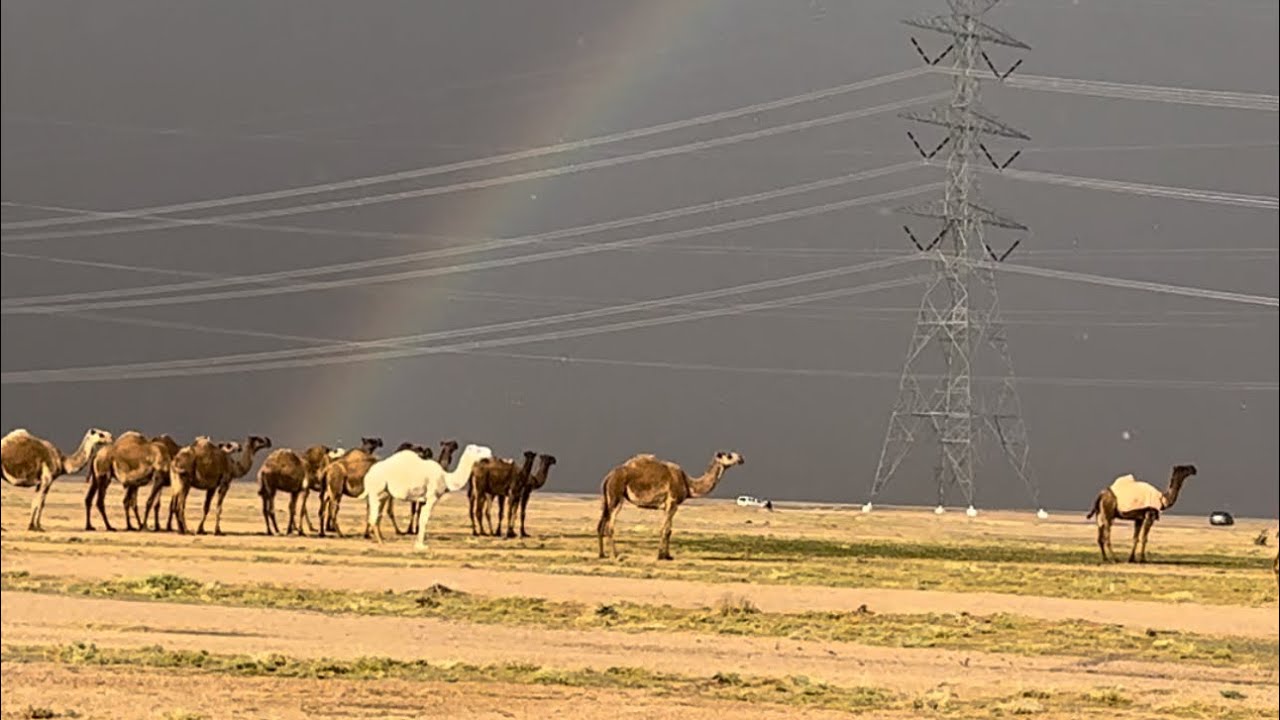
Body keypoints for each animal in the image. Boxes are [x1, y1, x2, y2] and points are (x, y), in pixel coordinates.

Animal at [361, 443, 492, 550]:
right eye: (478, 450)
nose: (489, 452)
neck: (446, 477)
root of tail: (368, 474)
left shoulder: (423, 499)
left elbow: (421, 518)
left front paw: (418, 543)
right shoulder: (432, 497)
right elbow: (424, 519)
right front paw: (421, 546)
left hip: (384, 494)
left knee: (378, 515)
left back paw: (381, 539)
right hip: (376, 491)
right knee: (373, 517)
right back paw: (381, 542)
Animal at [597, 450, 744, 561]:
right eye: (729, 455)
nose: (741, 458)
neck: (688, 484)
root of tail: (608, 477)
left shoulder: (670, 506)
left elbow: (669, 530)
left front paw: (668, 556)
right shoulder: (672, 502)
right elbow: (665, 530)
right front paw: (660, 556)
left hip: (607, 499)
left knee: (601, 524)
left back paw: (602, 554)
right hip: (616, 496)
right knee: (610, 526)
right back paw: (616, 555)